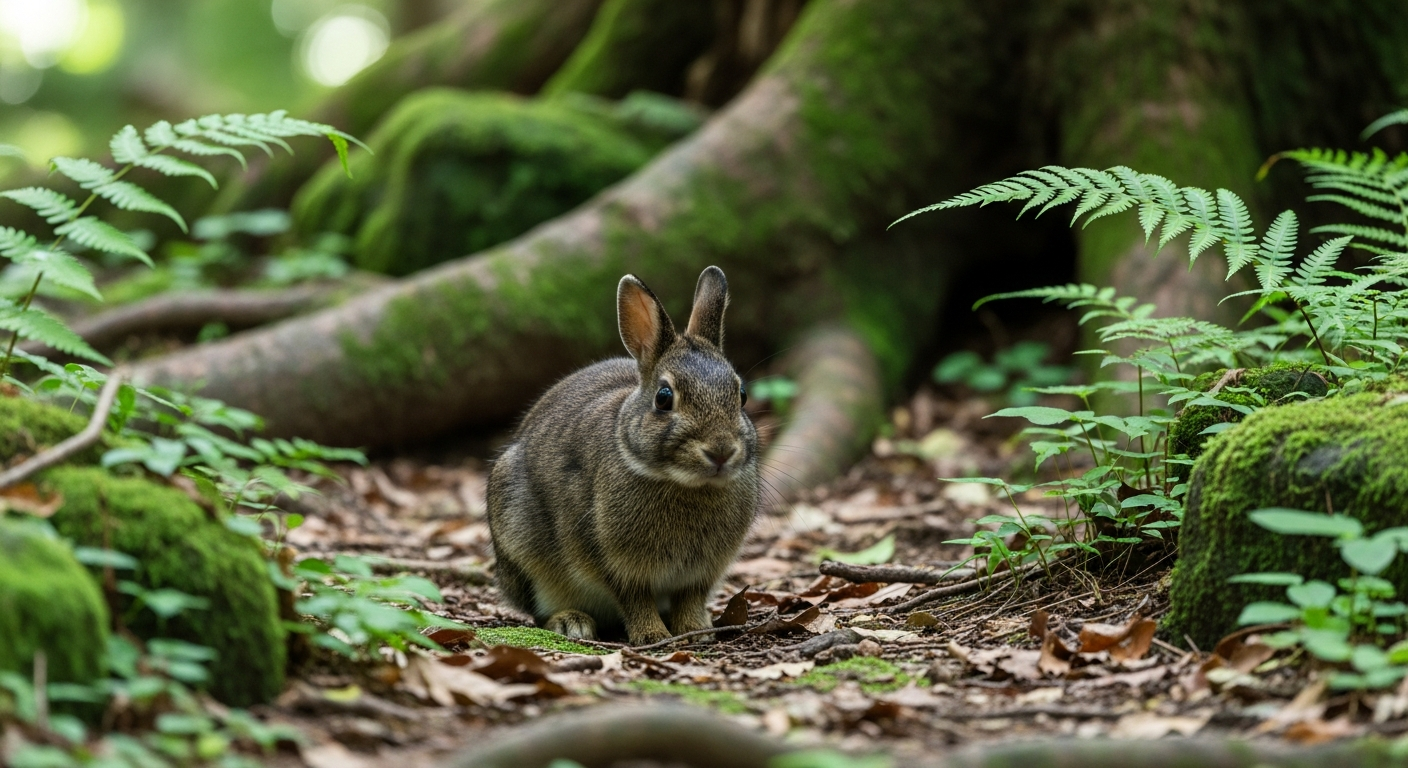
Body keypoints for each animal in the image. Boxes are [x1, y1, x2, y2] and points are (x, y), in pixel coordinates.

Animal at [486, 265, 760, 645]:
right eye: (663, 398)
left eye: (742, 395)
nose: (720, 451)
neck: (684, 484)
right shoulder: (612, 562)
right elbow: (634, 598)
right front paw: (651, 635)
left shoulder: (701, 573)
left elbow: (690, 597)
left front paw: (695, 630)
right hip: (519, 543)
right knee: (538, 610)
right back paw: (571, 622)